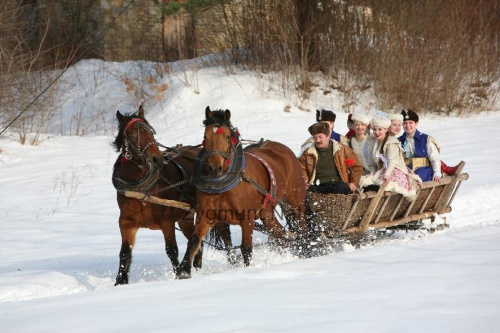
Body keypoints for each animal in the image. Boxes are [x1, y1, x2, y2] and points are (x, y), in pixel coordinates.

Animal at [113, 105, 205, 284]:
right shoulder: (126, 223)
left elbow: (171, 249)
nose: (157, 159)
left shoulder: (166, 221)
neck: (141, 189)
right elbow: (125, 253)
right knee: (198, 241)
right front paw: (120, 282)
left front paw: (179, 274)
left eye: (151, 132)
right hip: (185, 218)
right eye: (132, 134)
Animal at [176, 107, 308, 278]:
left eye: (226, 136)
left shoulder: (247, 218)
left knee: (301, 230)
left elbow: (246, 248)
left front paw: (246, 271)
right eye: (205, 136)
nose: (214, 168)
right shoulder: (208, 215)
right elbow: (194, 240)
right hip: (266, 214)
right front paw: (183, 271)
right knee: (281, 235)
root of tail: (286, 151)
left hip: (294, 204)